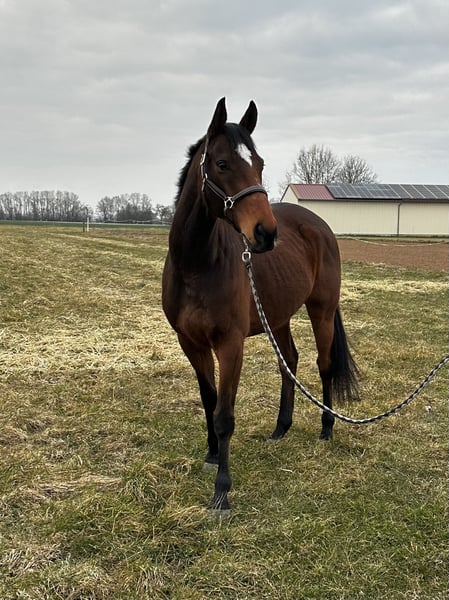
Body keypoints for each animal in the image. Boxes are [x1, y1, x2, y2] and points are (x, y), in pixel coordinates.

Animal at [162, 98, 359, 511]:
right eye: (222, 164)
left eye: (260, 163)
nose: (266, 234)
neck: (197, 264)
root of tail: (319, 225)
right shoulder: (191, 343)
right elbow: (209, 399)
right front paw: (211, 456)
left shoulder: (230, 344)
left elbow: (225, 414)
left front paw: (222, 490)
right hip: (278, 316)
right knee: (290, 362)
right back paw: (281, 429)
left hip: (321, 310)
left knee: (323, 364)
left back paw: (327, 429)